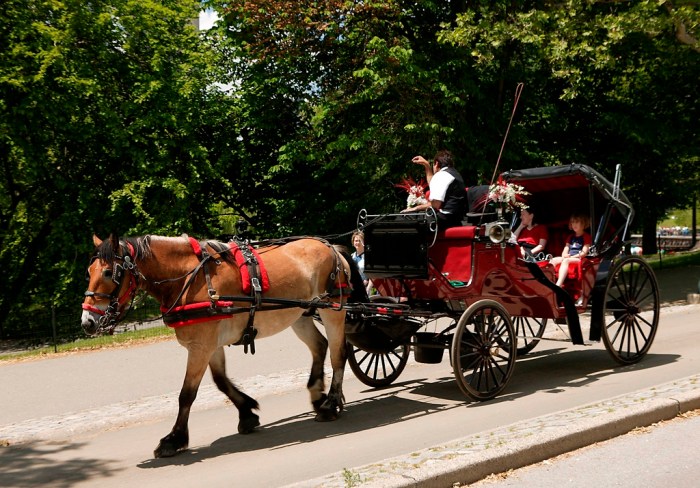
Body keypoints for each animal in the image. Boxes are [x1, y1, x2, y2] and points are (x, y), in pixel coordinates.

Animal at [81, 234, 366, 458]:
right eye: (88, 272)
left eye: (109, 272)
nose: (87, 322)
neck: (189, 280)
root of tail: (331, 247)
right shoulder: (209, 344)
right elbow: (220, 381)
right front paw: (247, 412)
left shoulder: (201, 346)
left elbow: (187, 394)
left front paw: (173, 438)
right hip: (300, 314)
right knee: (320, 346)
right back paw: (318, 394)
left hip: (332, 310)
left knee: (338, 354)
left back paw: (330, 404)